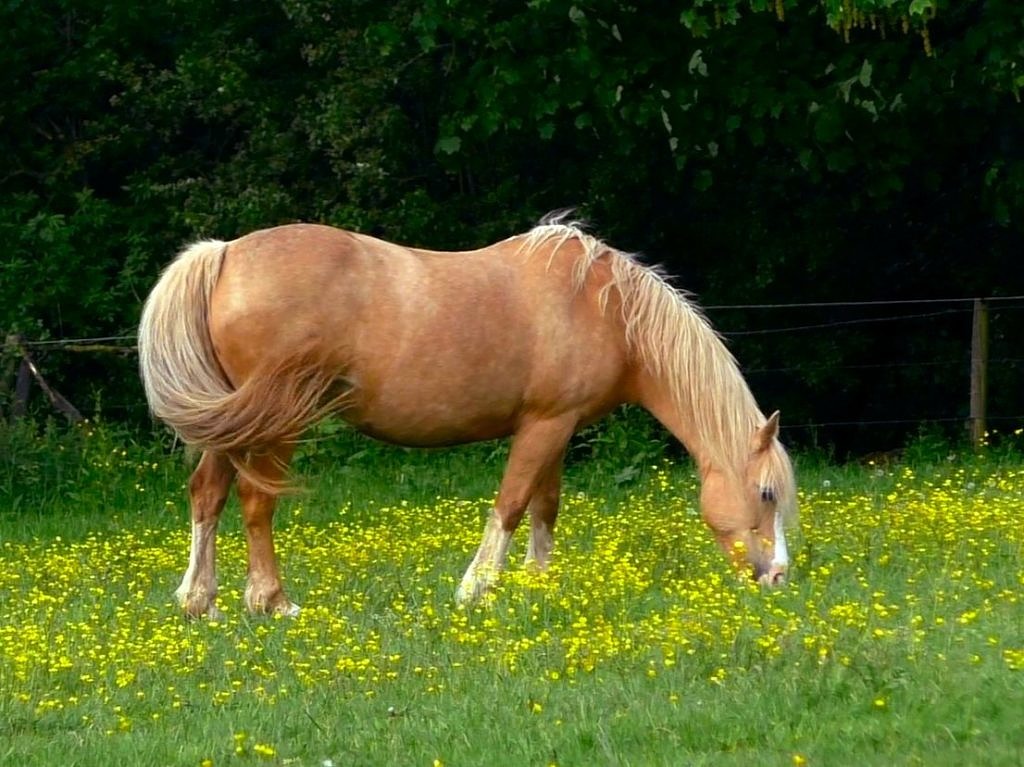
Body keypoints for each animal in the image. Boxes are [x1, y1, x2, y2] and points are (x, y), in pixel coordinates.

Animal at [138, 215, 797, 618]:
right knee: (256, 504)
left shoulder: (557, 428)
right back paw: (273, 602)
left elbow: (544, 508)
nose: (778, 577)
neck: (604, 307)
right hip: (277, 425)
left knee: (207, 495)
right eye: (766, 493)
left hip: (231, 423)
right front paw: (475, 589)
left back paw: (199, 601)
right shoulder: (543, 426)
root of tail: (225, 255)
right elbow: (510, 505)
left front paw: (538, 584)